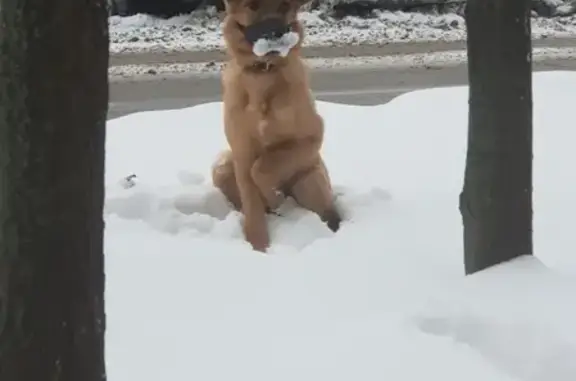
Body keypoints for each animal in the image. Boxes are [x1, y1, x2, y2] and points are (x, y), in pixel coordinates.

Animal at [210, 0, 340, 251]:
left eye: (285, 6)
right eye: (251, 6)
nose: (274, 35)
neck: (262, 74)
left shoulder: (312, 135)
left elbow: (263, 167)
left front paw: (273, 195)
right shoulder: (241, 152)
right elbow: (253, 203)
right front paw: (259, 248)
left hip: (310, 181)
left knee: (329, 213)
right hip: (222, 167)